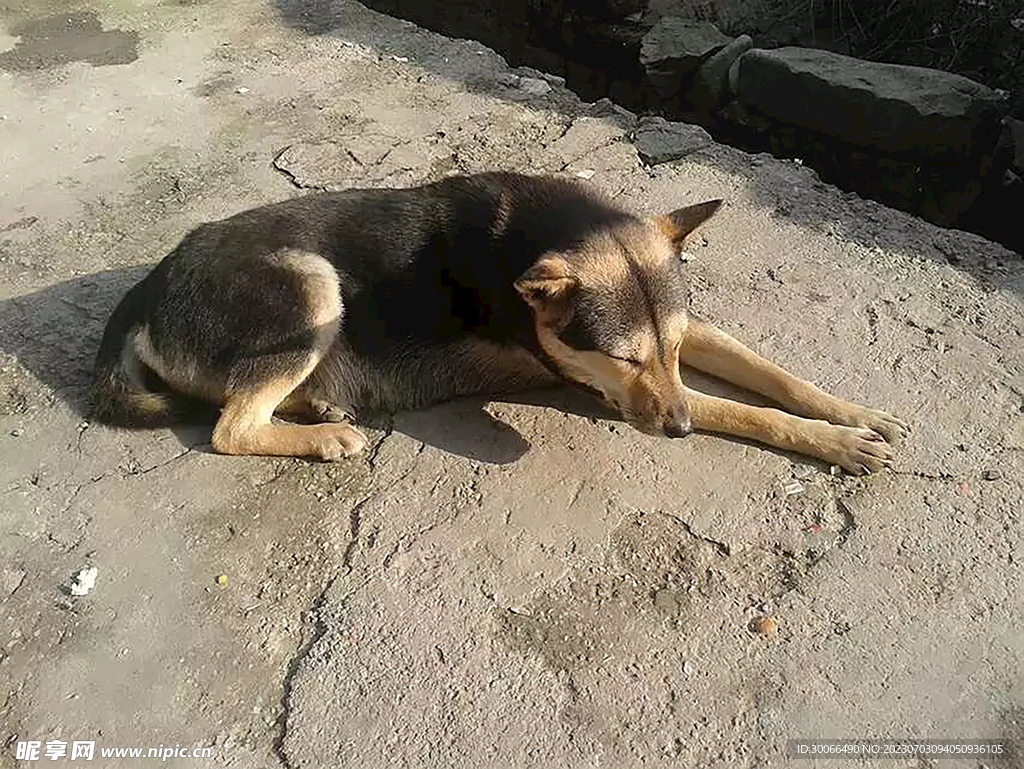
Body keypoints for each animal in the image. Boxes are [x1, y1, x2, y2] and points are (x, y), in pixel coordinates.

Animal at [86, 173, 905, 475]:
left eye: (668, 350)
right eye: (623, 359)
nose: (676, 432)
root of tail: (149, 284)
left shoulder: (690, 333)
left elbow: (772, 373)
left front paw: (851, 412)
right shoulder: (597, 384)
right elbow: (744, 411)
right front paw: (832, 442)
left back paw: (319, 406)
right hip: (314, 286)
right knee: (229, 427)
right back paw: (323, 435)